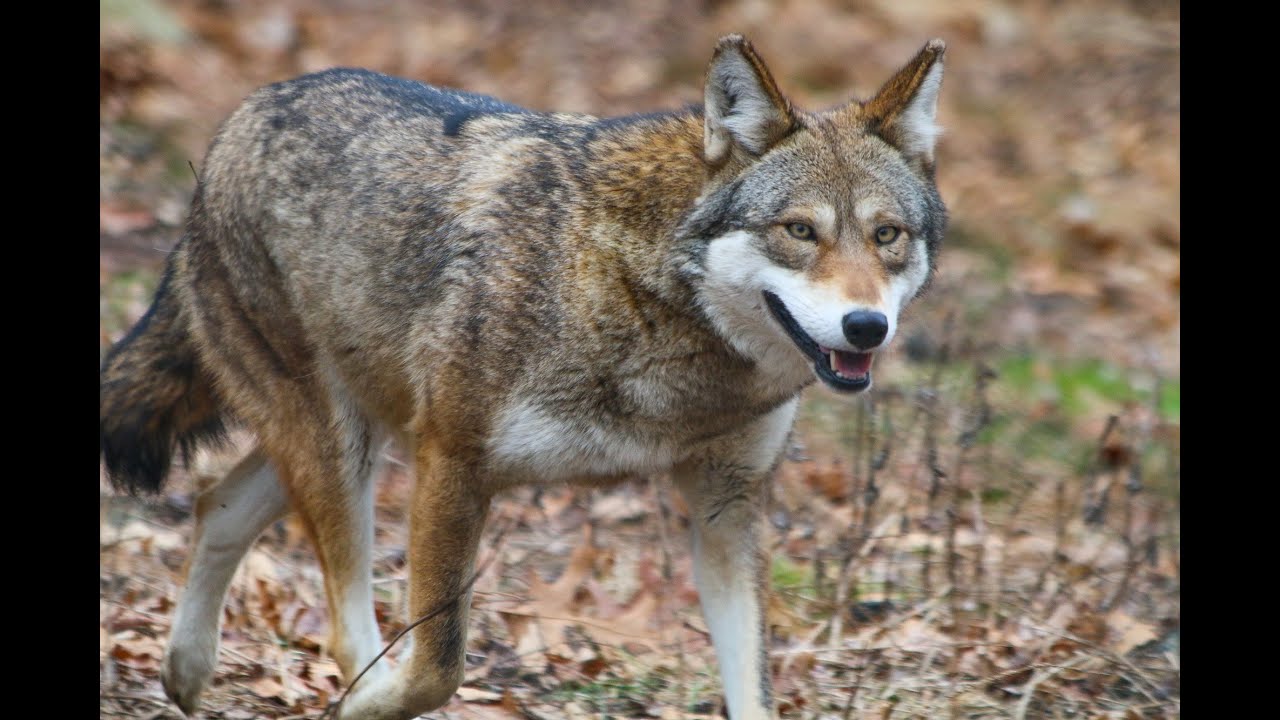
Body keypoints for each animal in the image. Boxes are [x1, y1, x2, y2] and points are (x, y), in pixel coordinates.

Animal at [100, 34, 946, 719]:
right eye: (800, 231)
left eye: (887, 236)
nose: (866, 328)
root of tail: (245, 113)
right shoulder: (453, 466)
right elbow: (435, 665)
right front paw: (371, 703)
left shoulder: (727, 507)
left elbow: (754, 691)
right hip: (338, 451)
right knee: (343, 629)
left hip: (345, 443)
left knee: (215, 503)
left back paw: (184, 674)